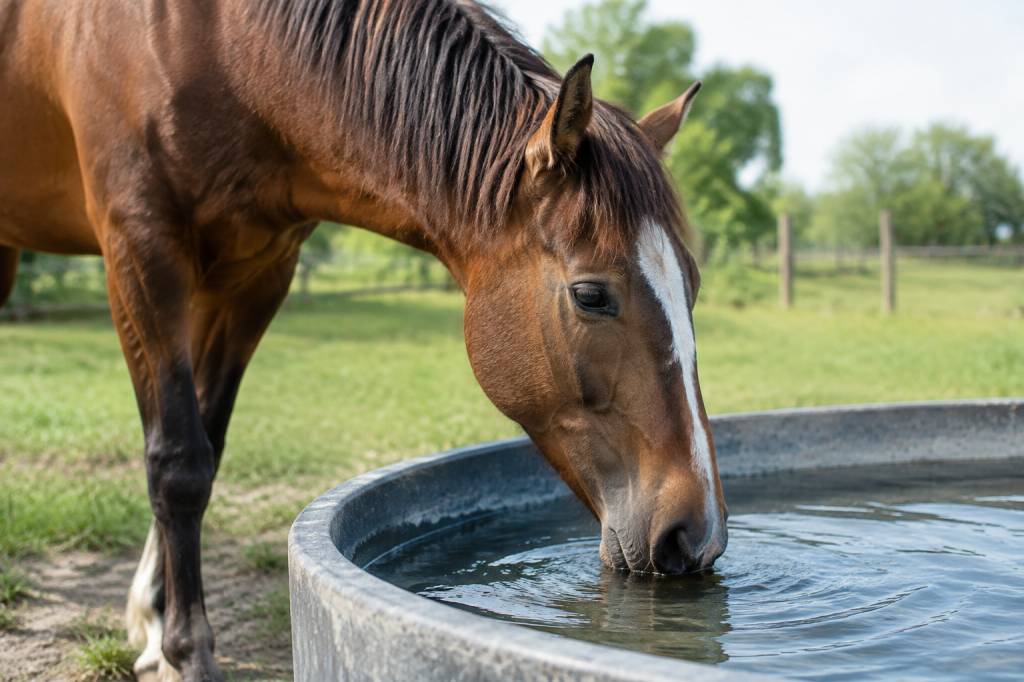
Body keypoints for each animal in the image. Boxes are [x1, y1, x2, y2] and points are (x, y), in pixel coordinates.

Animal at [0, 0, 728, 679]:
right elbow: (178, 461)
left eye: (693, 283)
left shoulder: (255, 274)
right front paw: (185, 650)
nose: (695, 537)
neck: (215, 45)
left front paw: (151, 622)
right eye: (591, 295)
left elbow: (207, 439)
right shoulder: (142, 257)